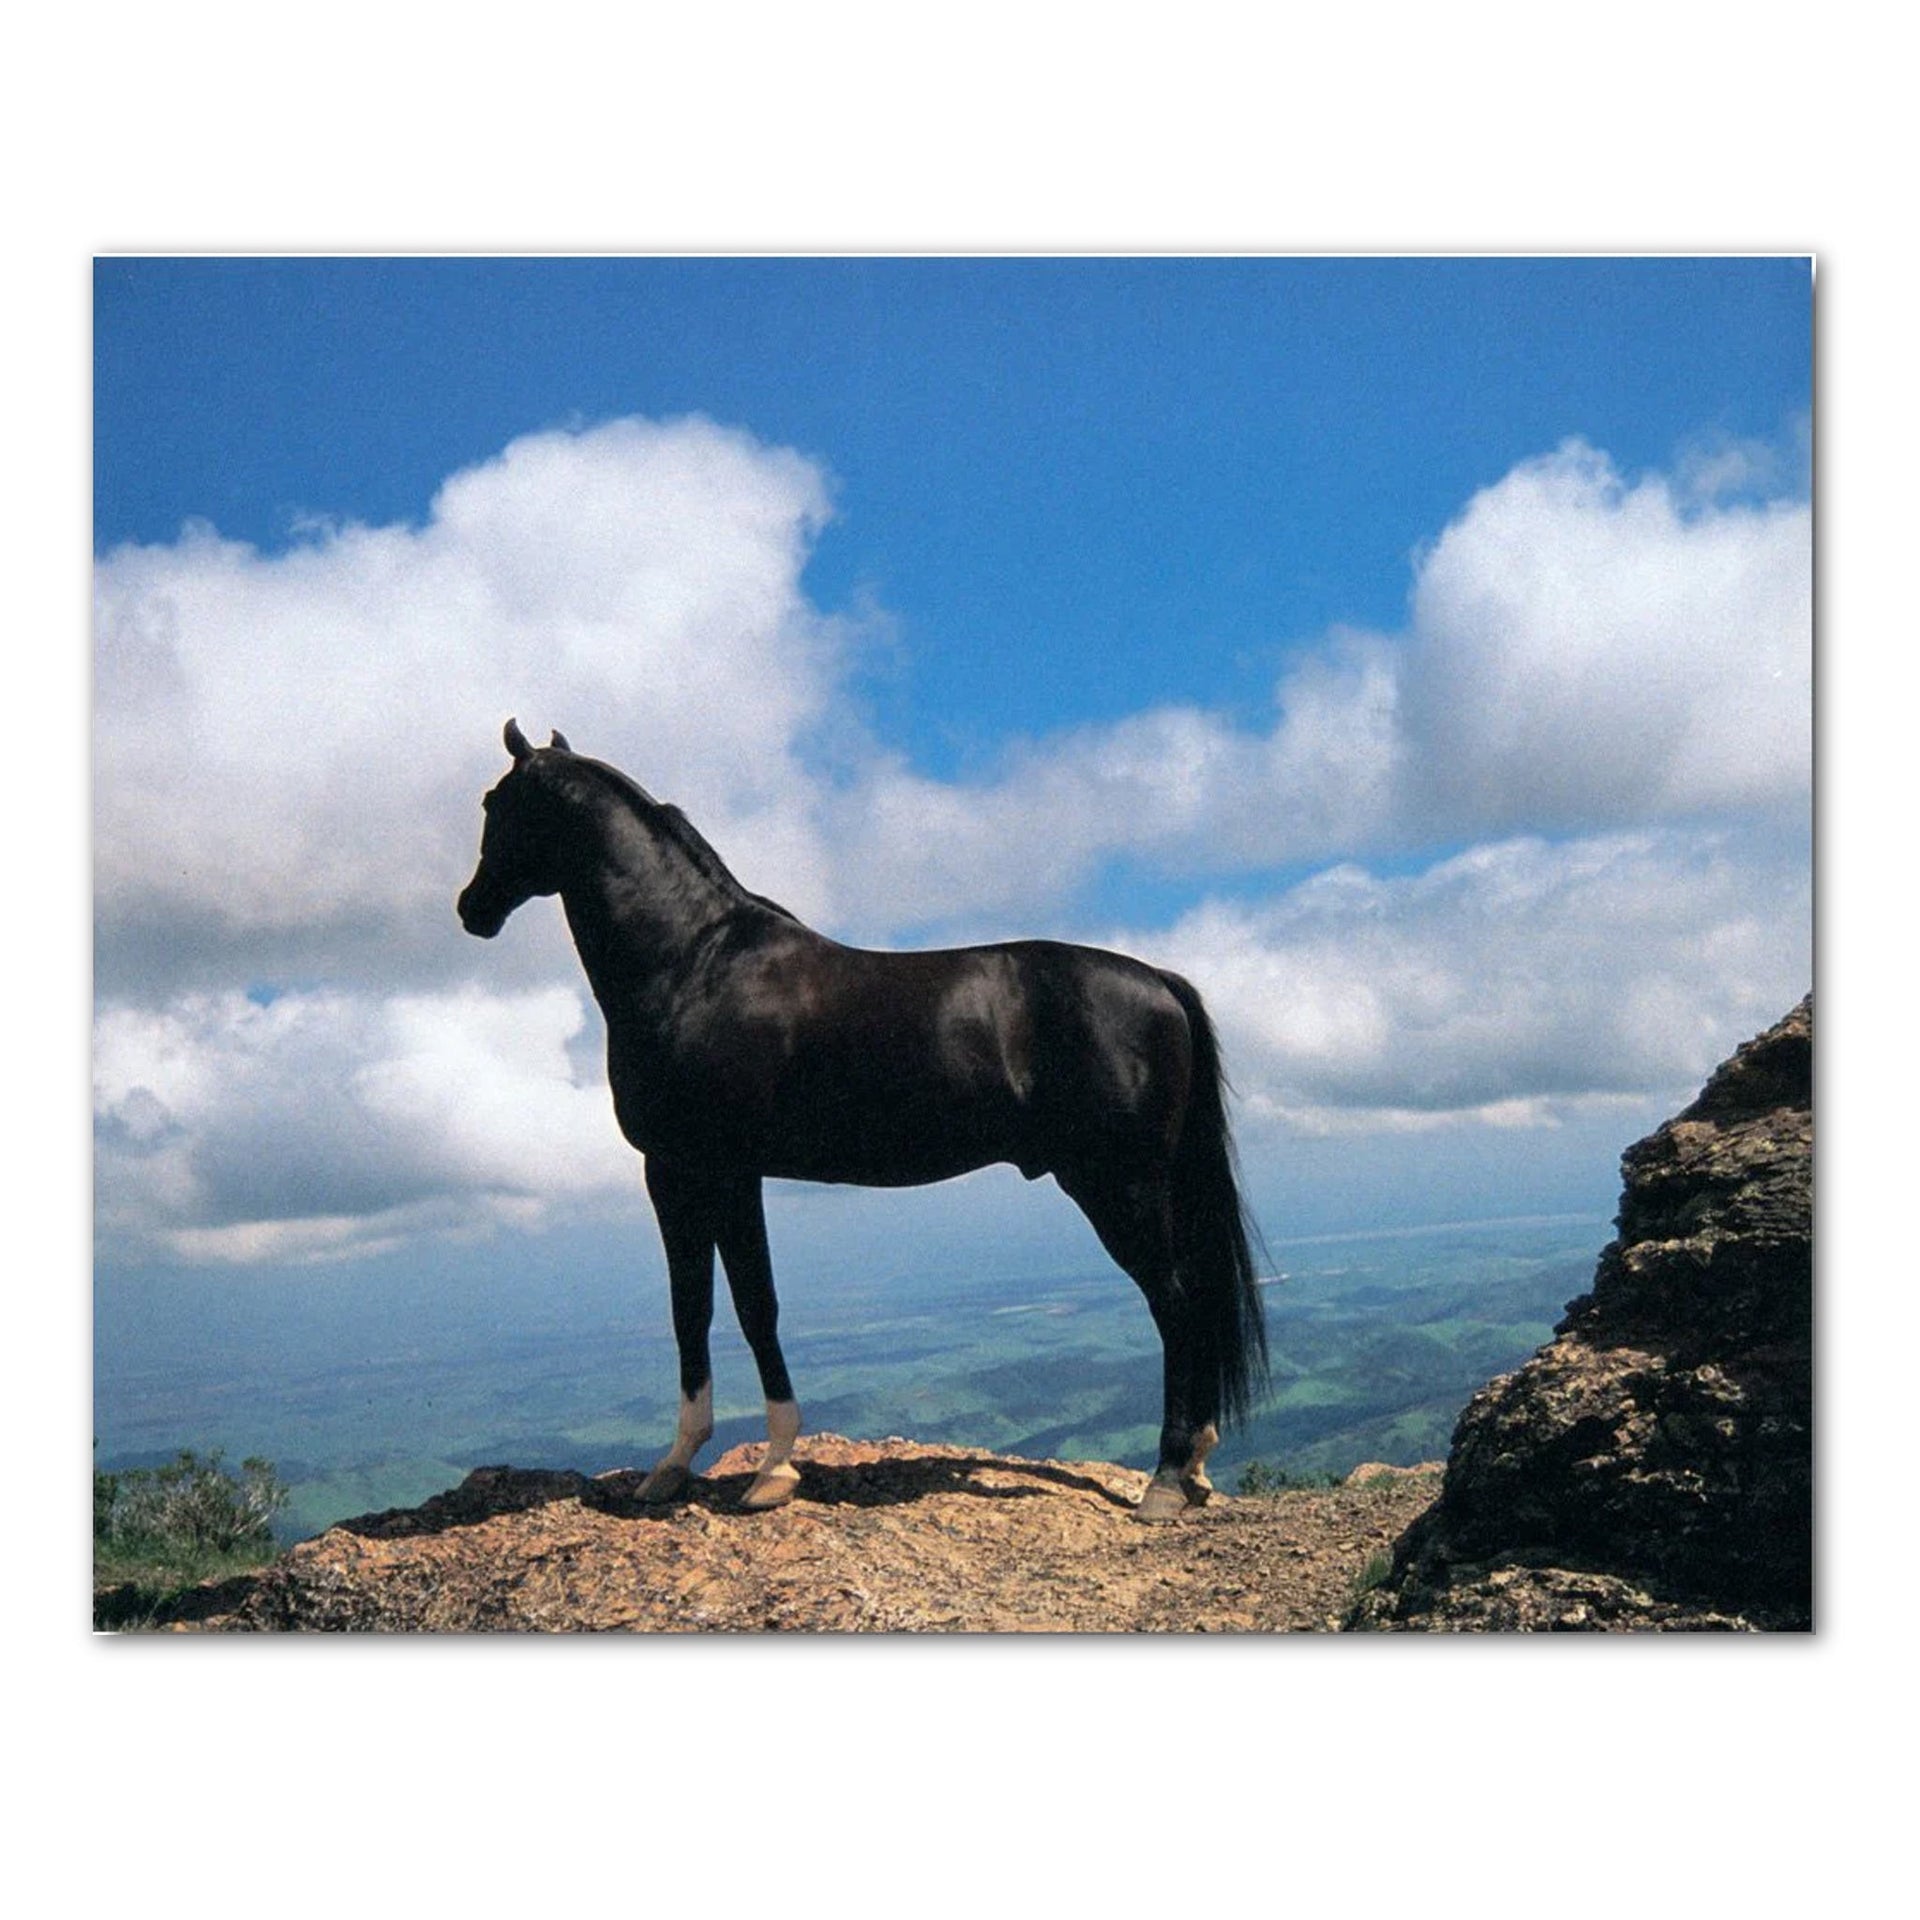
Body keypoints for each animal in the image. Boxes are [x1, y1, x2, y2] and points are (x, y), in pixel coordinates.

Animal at [457, 718, 1269, 1521]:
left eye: (497, 804)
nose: (471, 910)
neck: (693, 964)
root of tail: (1159, 982)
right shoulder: (692, 1173)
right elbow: (705, 1306)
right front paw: (681, 1465)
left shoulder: (709, 1169)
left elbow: (741, 1306)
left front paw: (767, 1469)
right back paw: (1196, 1465)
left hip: (1118, 1185)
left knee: (1175, 1302)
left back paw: (1166, 1479)